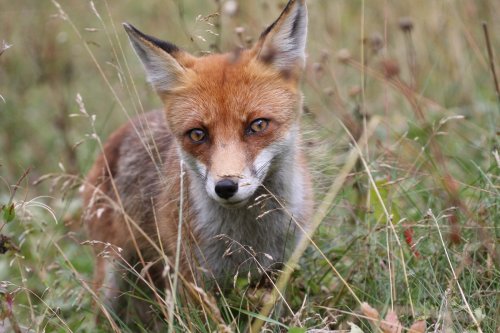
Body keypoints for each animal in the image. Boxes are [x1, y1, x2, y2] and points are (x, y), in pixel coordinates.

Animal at [82, 0, 312, 322]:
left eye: (257, 125)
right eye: (198, 134)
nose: (226, 187)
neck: (247, 239)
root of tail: (120, 133)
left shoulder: (279, 267)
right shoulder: (192, 277)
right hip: (111, 278)